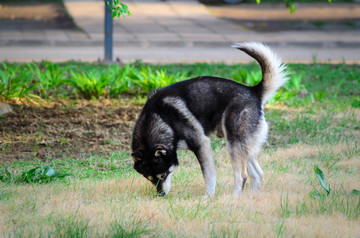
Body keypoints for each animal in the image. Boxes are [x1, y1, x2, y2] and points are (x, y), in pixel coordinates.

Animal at [131, 41, 288, 196]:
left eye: (163, 175)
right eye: (149, 179)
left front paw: (209, 196)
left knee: (242, 176)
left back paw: (234, 197)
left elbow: (208, 175)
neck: (162, 118)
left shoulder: (202, 144)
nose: (161, 195)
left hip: (233, 144)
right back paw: (250, 196)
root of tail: (253, 91)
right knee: (257, 174)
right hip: (243, 146)